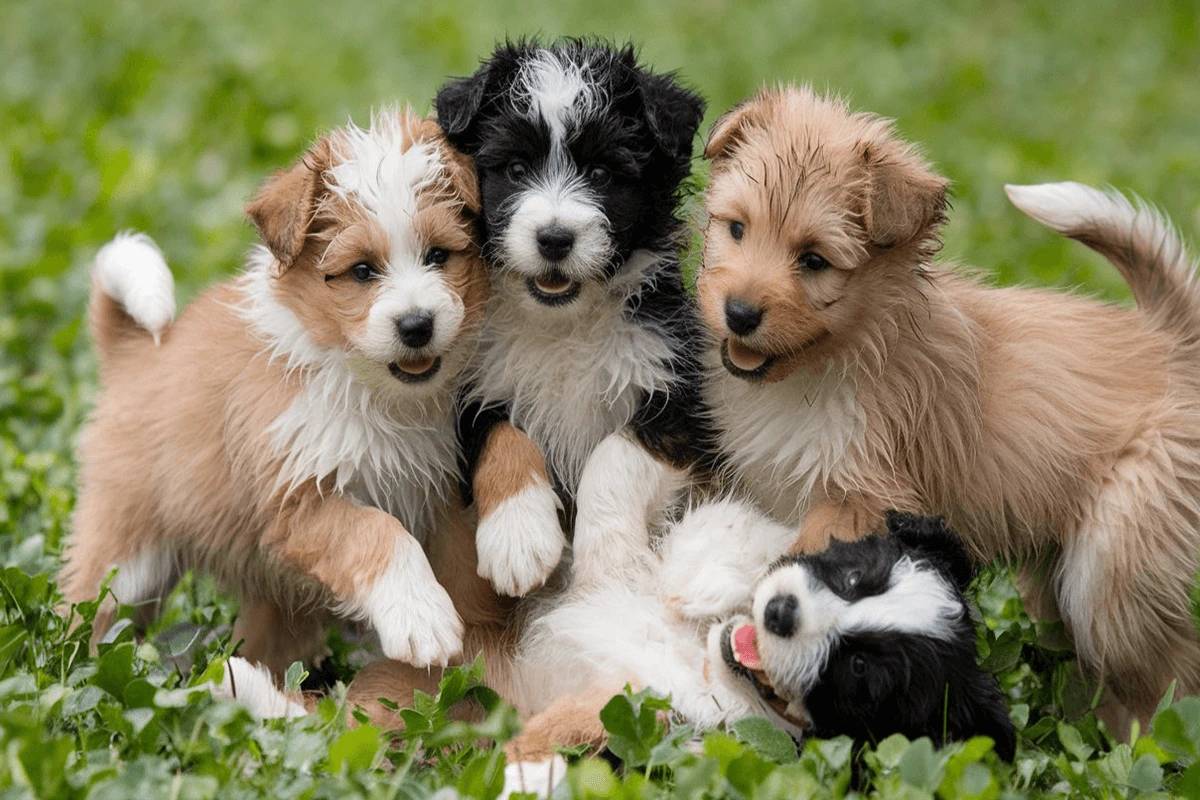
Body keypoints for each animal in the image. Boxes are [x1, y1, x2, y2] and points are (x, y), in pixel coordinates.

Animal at [58, 109, 489, 676]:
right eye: (362, 271)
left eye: (440, 255)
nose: (417, 325)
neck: (374, 390)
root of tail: (130, 351)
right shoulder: (298, 501)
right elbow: (378, 533)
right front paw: (422, 619)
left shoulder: (442, 493)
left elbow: (459, 564)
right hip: (126, 555)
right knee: (88, 617)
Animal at [434, 40, 705, 597]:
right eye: (516, 169)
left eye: (601, 174)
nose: (554, 239)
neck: (561, 326)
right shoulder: (467, 390)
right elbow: (503, 437)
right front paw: (517, 537)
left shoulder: (677, 396)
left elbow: (611, 455)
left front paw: (609, 563)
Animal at [676, 82, 1200, 734]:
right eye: (737, 229)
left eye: (815, 260)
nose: (740, 314)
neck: (822, 366)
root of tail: (1170, 344)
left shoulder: (860, 494)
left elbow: (802, 547)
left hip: (1112, 567)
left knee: (1169, 668)